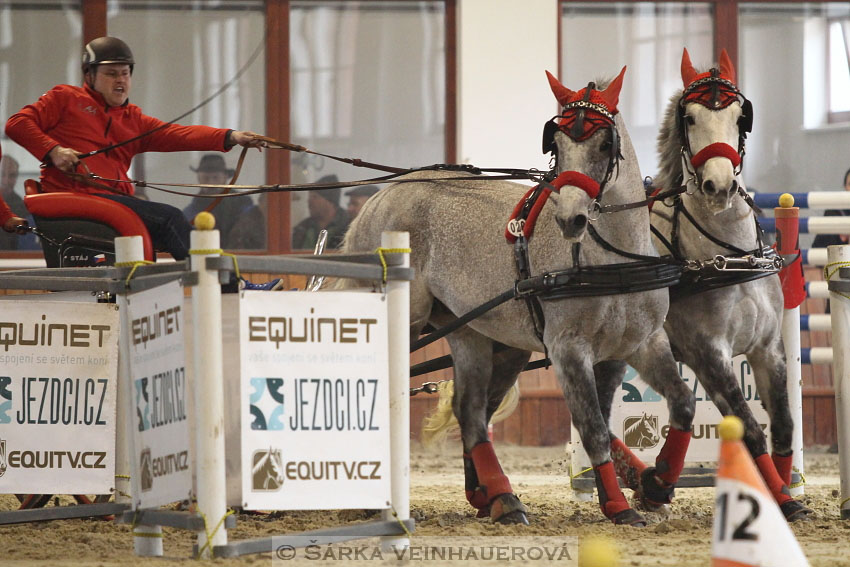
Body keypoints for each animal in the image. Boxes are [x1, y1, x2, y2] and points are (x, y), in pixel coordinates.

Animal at [340, 70, 696, 528]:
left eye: (605, 144)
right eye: (556, 144)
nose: (570, 219)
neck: (611, 259)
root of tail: (382, 197)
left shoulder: (635, 346)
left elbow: (679, 404)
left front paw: (657, 484)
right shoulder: (568, 350)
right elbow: (593, 427)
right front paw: (619, 505)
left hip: (478, 335)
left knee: (472, 410)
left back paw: (499, 497)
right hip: (405, 323)